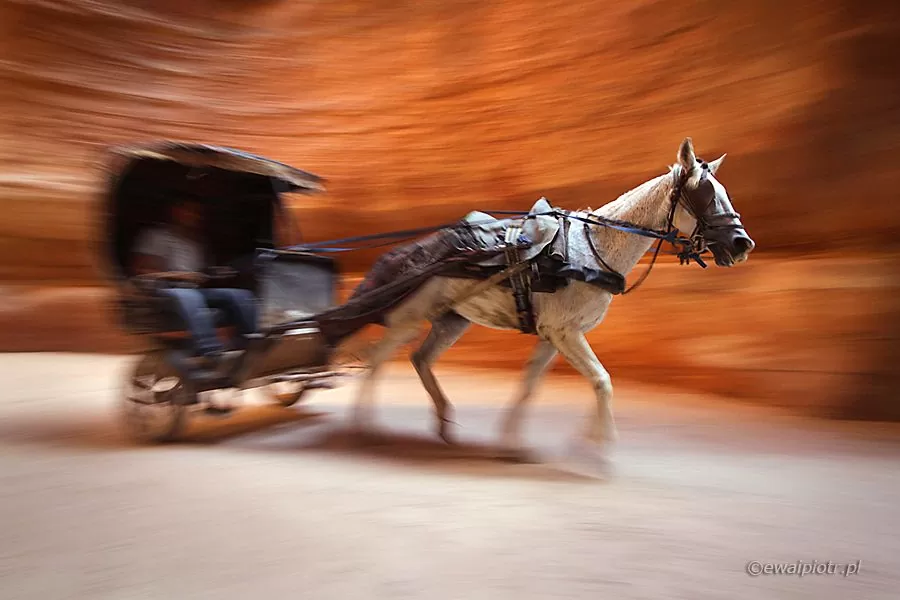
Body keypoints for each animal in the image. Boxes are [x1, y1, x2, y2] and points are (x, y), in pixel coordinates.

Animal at [344, 137, 752, 464]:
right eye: (704, 194)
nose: (742, 244)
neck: (591, 251)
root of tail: (414, 251)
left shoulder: (555, 335)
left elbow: (537, 383)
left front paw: (520, 442)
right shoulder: (563, 333)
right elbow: (602, 379)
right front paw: (600, 444)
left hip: (452, 320)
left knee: (420, 359)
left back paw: (442, 421)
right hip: (408, 318)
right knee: (377, 360)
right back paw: (363, 425)